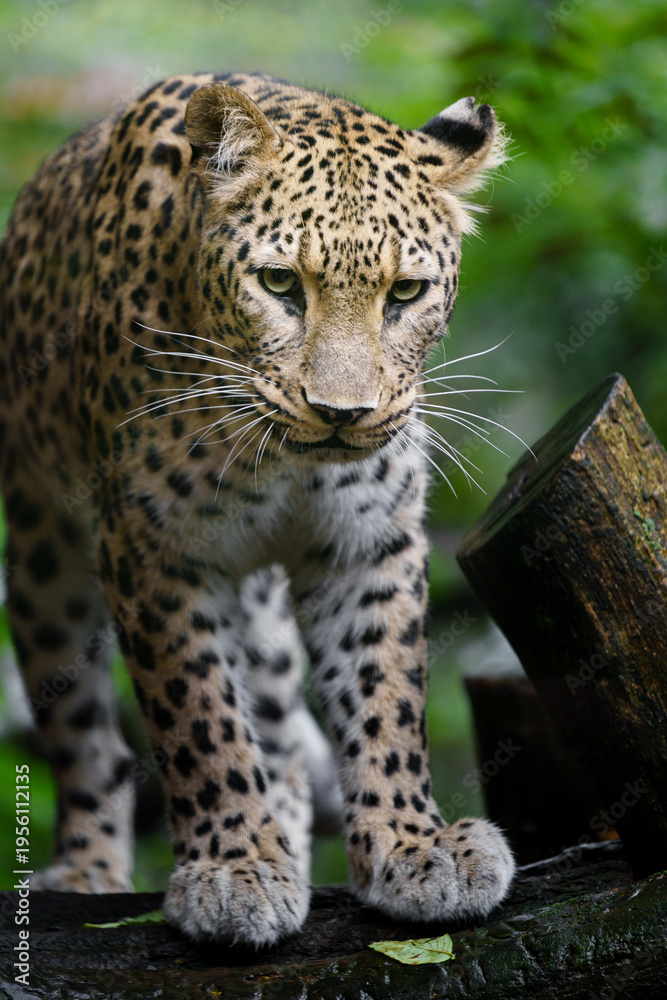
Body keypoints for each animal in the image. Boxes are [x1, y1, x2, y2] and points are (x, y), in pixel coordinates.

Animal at [0, 71, 515, 947]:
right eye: (279, 285)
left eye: (404, 293)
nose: (341, 414)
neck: (281, 464)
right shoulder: (151, 548)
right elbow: (197, 713)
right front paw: (233, 866)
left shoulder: (367, 543)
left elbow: (386, 694)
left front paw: (413, 845)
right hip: (41, 565)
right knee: (88, 742)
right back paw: (89, 870)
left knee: (277, 732)